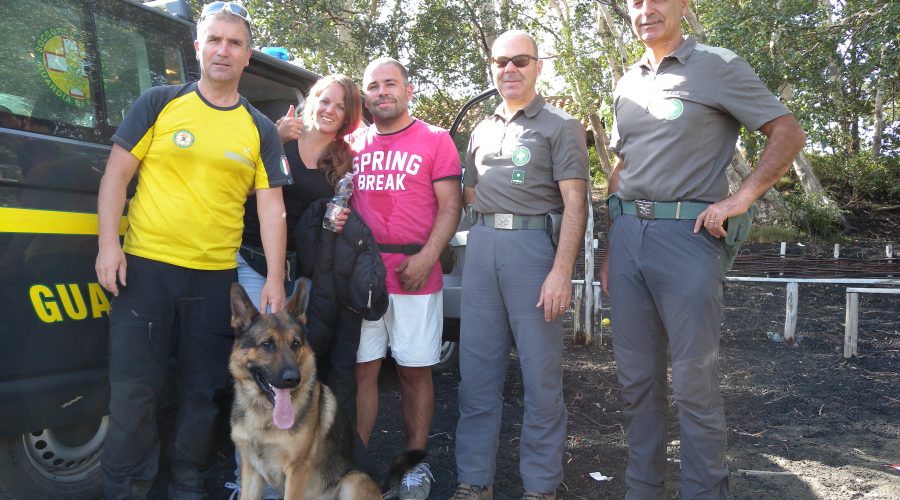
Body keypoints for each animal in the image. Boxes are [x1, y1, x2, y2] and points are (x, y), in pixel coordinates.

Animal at [227, 282, 384, 500]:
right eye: (267, 344)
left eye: (295, 344)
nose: (293, 379)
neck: (263, 414)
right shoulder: (251, 470)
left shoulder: (296, 472)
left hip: (352, 481)